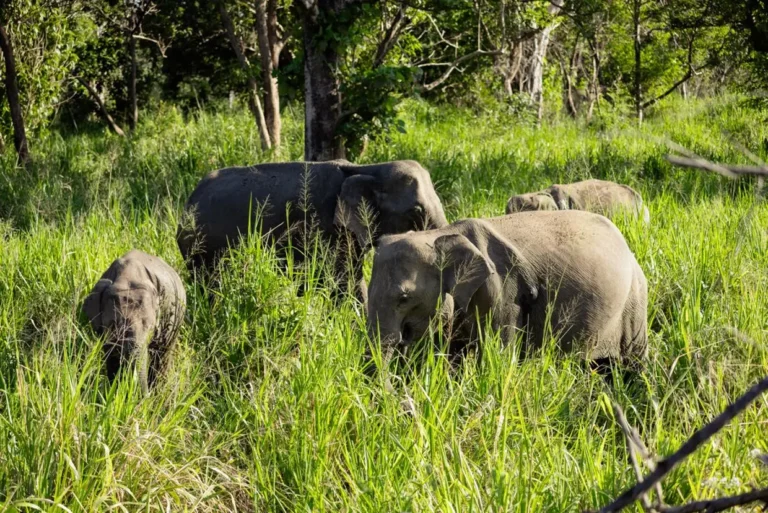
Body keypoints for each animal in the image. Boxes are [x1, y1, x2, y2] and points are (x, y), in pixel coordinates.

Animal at [82, 250, 186, 395]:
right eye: (113, 326)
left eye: (151, 328)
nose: (146, 395)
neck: (127, 277)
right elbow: (111, 357)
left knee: (163, 354)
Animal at [177, 159, 448, 301]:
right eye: (416, 212)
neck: (366, 167)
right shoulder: (321, 225)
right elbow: (339, 278)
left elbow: (351, 277)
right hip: (200, 250)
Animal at [366, 211, 648, 369]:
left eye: (404, 298)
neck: (442, 234)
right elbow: (455, 356)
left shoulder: (504, 291)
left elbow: (498, 354)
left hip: (635, 301)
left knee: (631, 362)